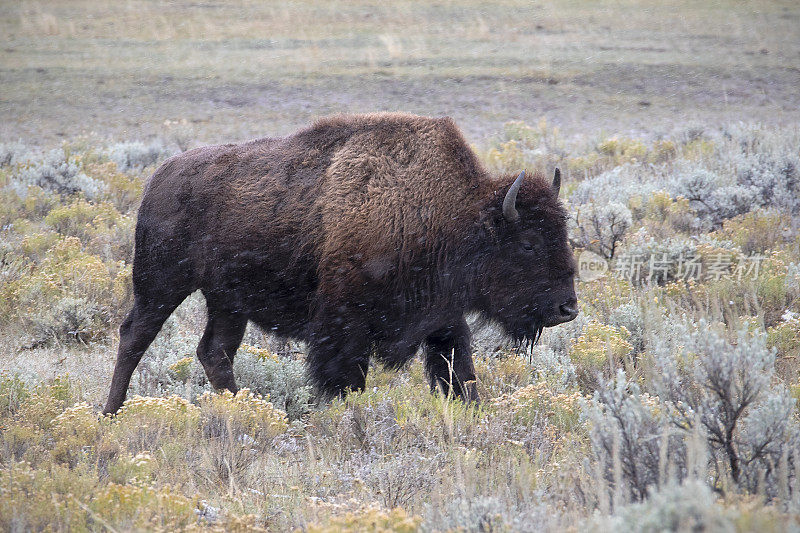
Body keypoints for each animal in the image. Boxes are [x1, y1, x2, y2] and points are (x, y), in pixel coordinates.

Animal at [103, 111, 580, 412]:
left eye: (564, 233)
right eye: (529, 244)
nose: (568, 308)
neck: (449, 215)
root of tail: (157, 178)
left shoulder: (443, 317)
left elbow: (459, 373)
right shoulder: (343, 324)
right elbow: (346, 379)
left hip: (227, 301)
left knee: (214, 353)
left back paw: (243, 409)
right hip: (161, 284)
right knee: (134, 337)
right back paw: (111, 413)